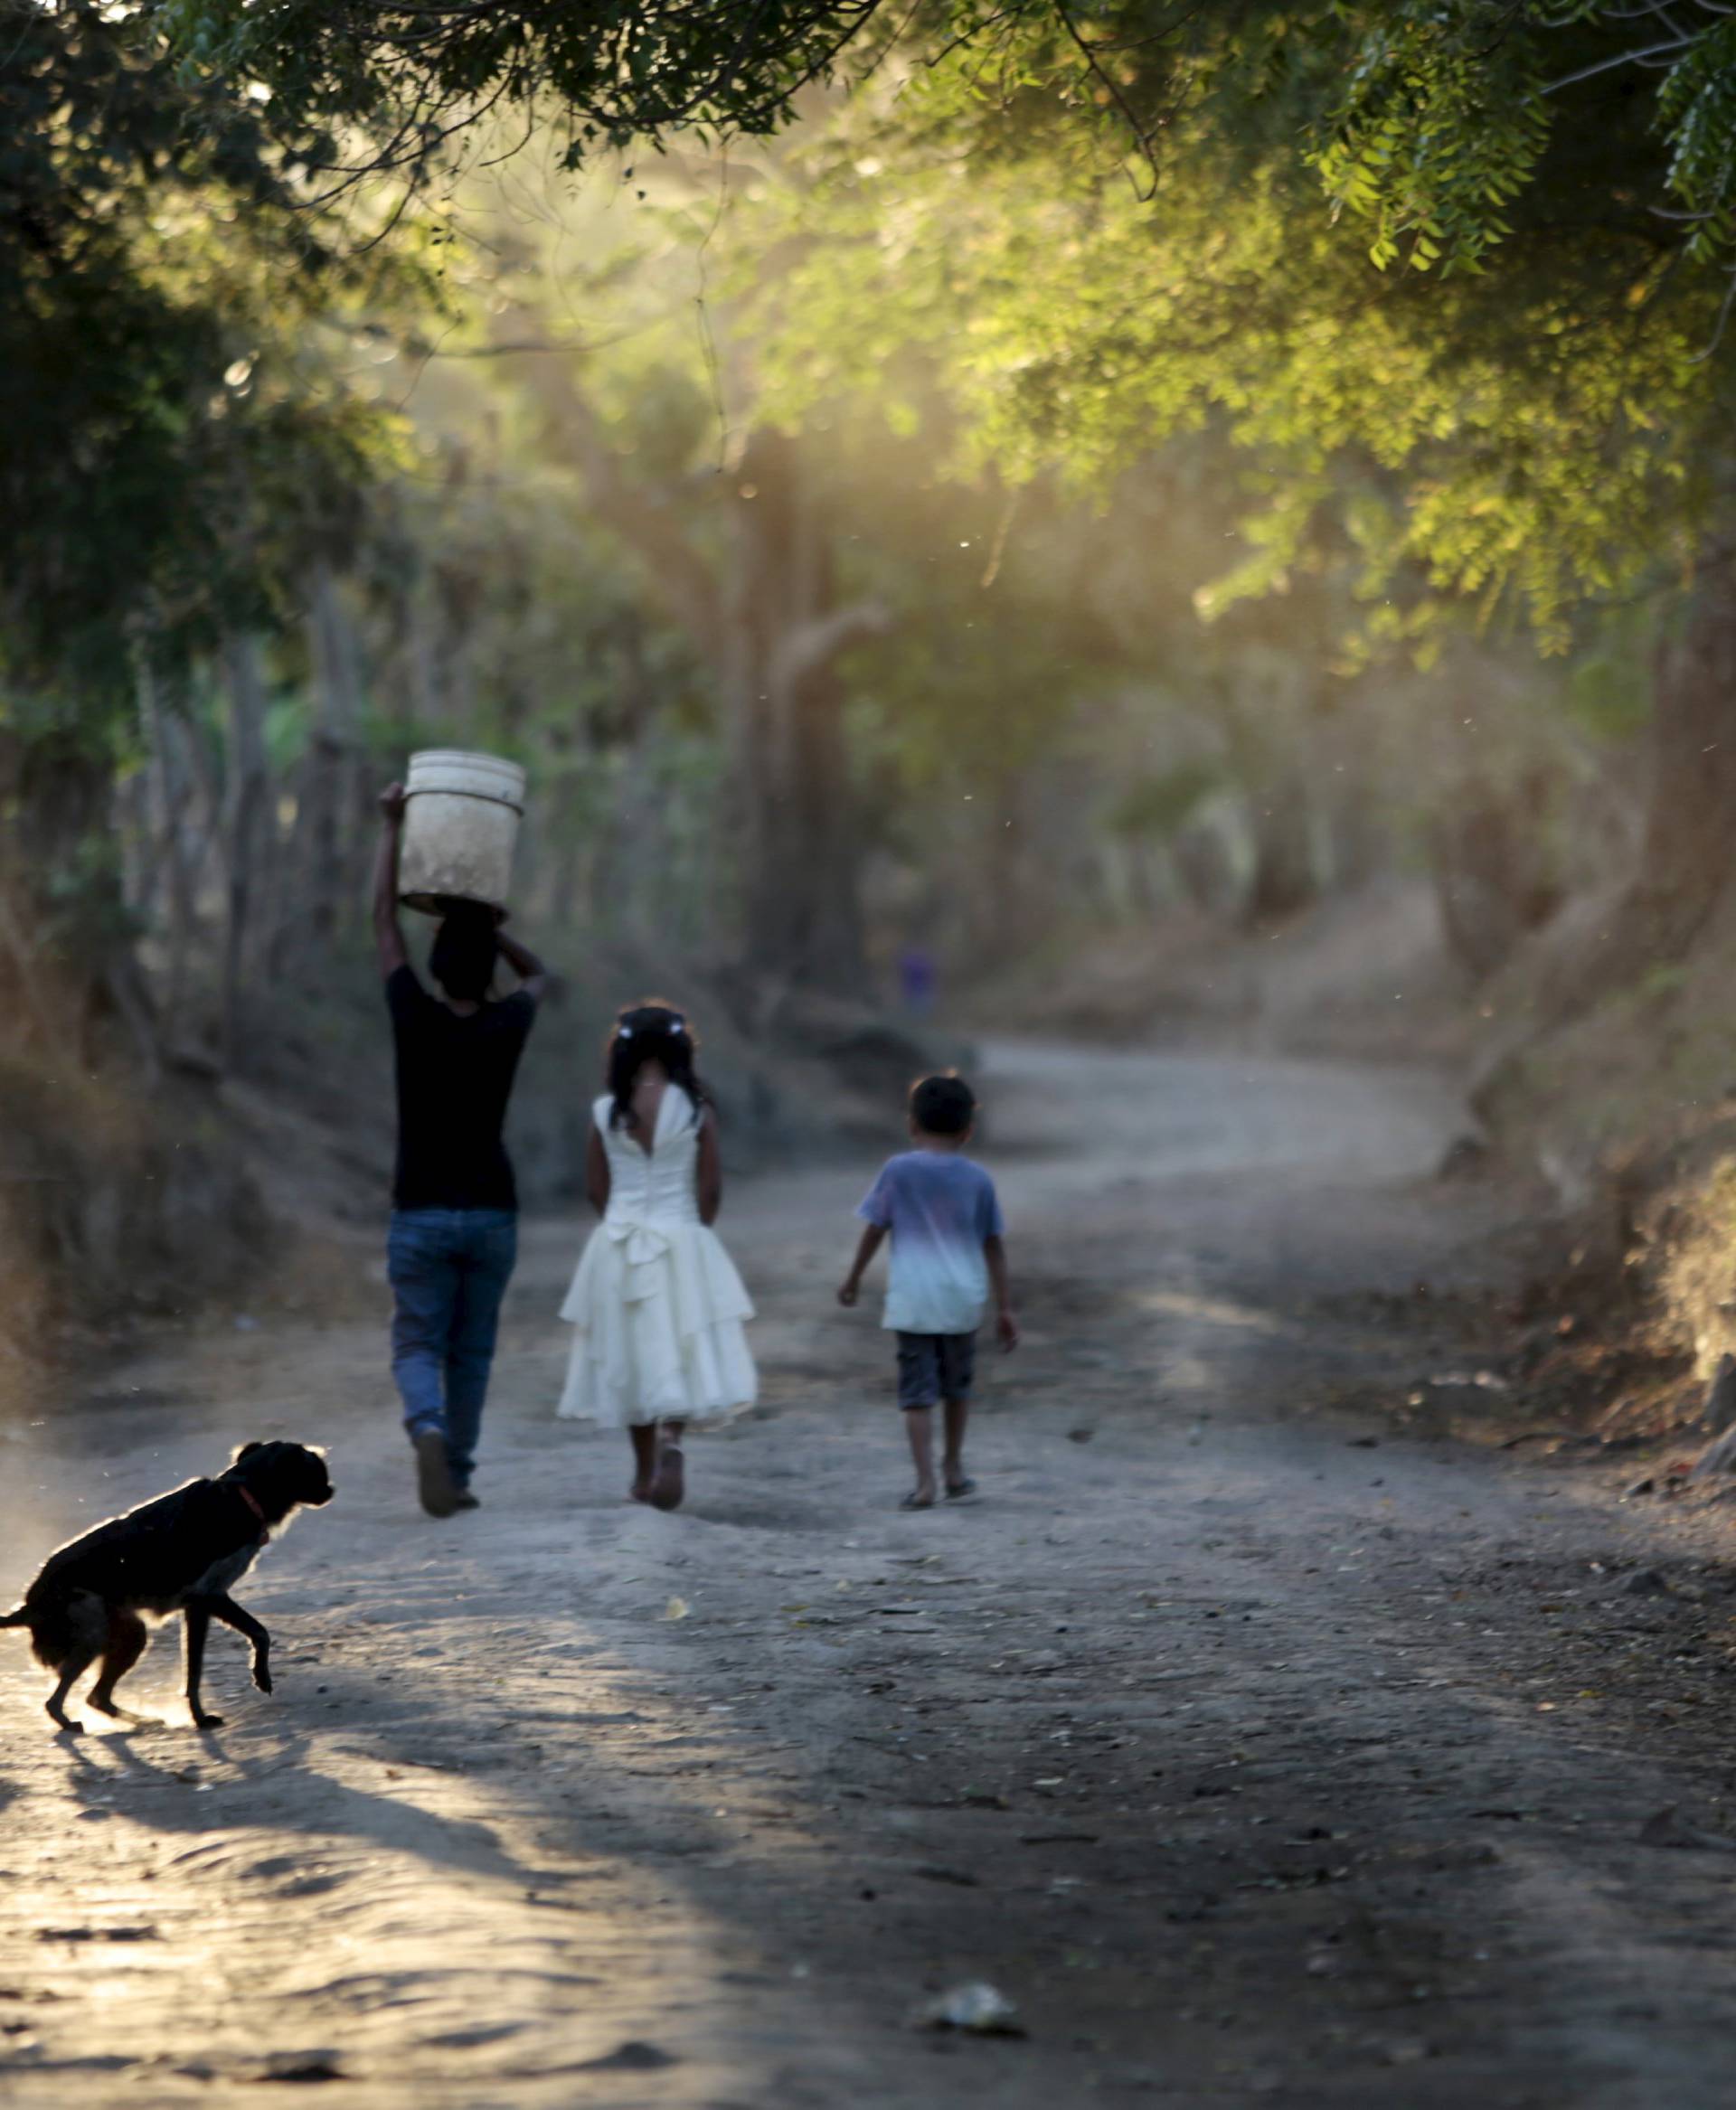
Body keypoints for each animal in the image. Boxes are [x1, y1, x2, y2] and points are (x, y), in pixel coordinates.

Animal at [0, 1451, 331, 1729]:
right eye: (318, 1472)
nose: (332, 1489)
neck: (241, 1495)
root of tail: (28, 1606)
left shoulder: (200, 1607)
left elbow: (198, 1669)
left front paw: (200, 1715)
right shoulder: (207, 1598)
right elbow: (255, 1636)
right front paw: (248, 1684)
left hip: (129, 1635)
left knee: (97, 1697)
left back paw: (140, 1720)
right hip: (92, 1635)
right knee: (55, 1701)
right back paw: (69, 1722)